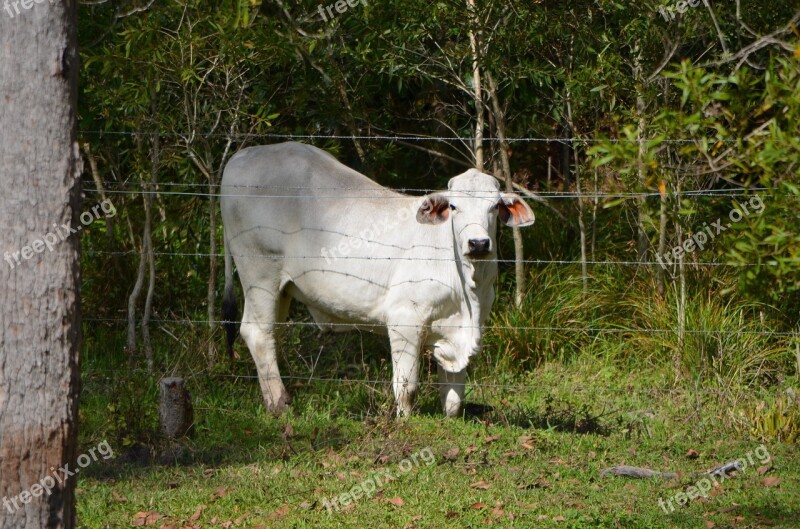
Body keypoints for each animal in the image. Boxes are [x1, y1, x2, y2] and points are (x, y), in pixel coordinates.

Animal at [219, 141, 536, 416]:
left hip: (281, 288)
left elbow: (454, 395)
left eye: (494, 207)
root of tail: (244, 155)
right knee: (256, 332)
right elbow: (407, 386)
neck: (470, 288)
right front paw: (404, 420)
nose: (478, 243)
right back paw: (279, 404)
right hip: (259, 272)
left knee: (272, 332)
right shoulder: (404, 319)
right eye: (454, 207)